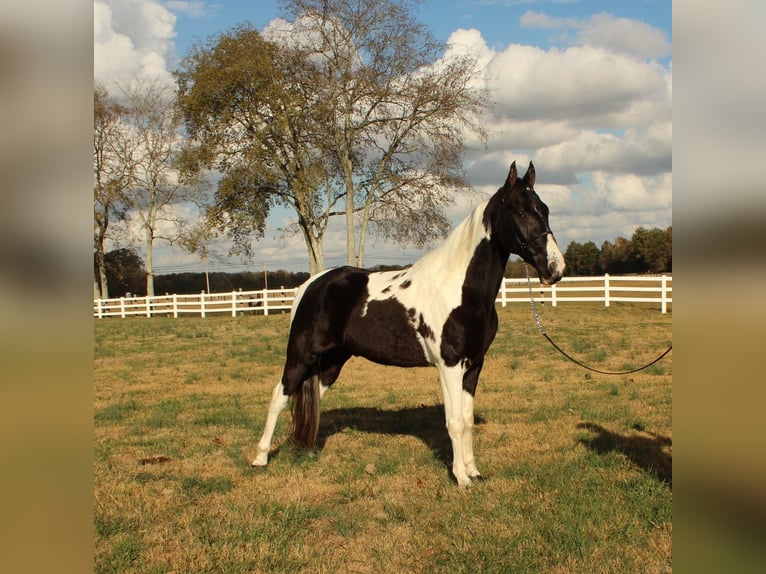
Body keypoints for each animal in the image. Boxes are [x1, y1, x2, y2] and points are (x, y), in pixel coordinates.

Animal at [252, 161, 564, 486]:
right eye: (521, 212)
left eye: (544, 209)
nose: (555, 268)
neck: (461, 289)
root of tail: (311, 284)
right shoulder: (449, 365)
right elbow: (454, 422)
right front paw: (461, 478)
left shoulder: (474, 365)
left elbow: (466, 420)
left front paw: (473, 471)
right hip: (300, 356)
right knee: (279, 397)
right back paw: (260, 458)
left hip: (331, 364)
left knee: (313, 401)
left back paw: (308, 450)